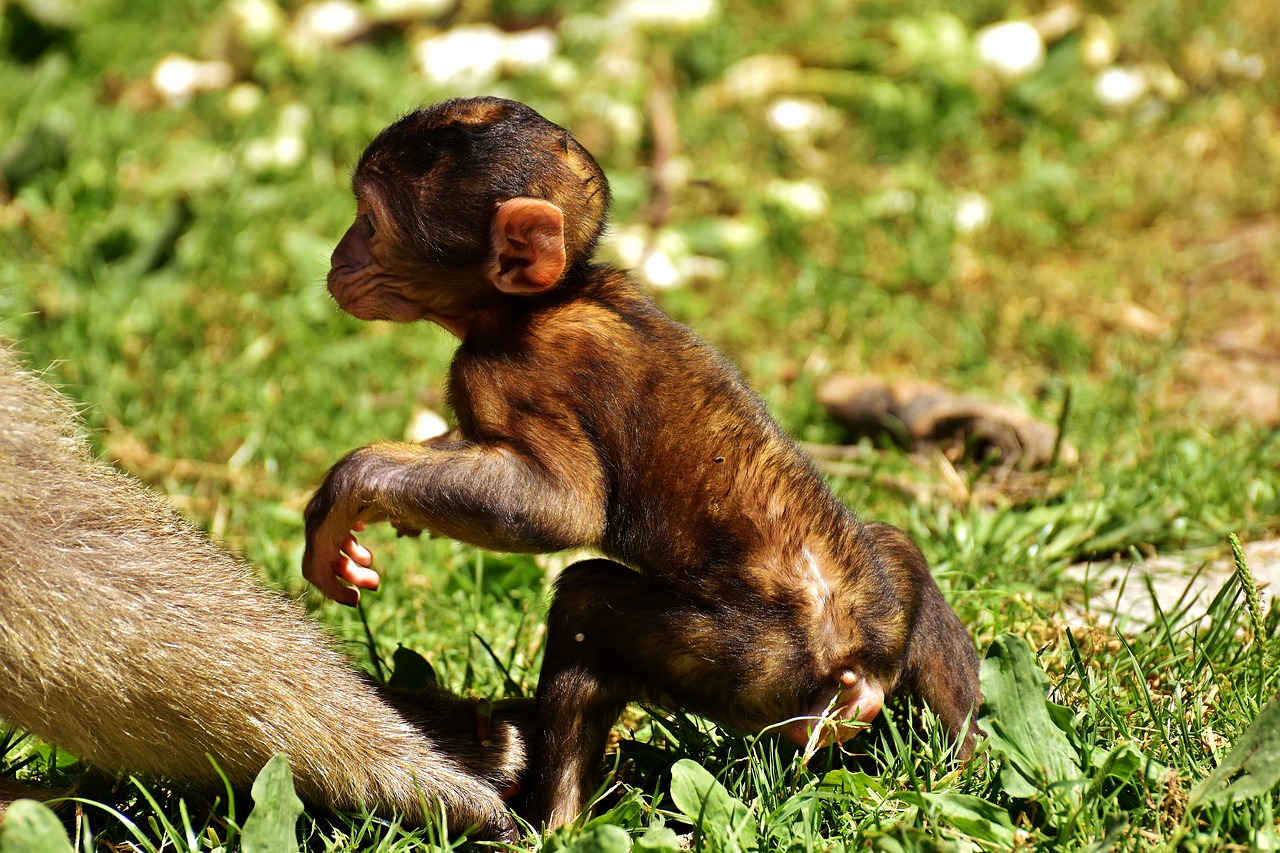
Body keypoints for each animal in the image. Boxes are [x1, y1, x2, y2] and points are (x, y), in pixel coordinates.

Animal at [304, 96, 983, 824]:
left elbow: (561, 508)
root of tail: (862, 668)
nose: (337, 256)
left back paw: (555, 822)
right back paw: (966, 759)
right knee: (899, 550)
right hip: (866, 620)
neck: (545, 300)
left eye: (371, 223)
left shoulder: (506, 371)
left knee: (586, 601)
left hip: (759, 668)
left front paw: (354, 485)